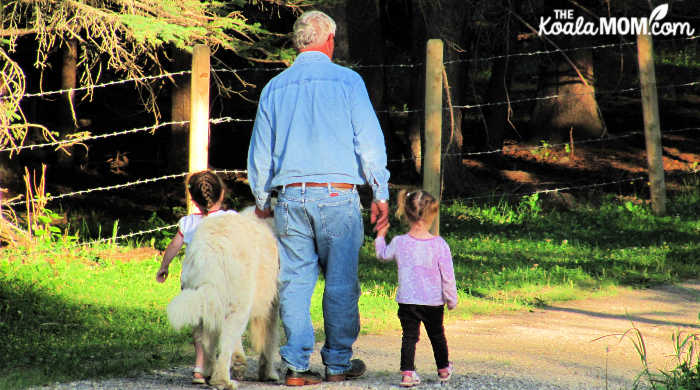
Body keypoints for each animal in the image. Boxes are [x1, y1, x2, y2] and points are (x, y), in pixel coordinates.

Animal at [167, 207, 278, 390]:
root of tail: (209, 251)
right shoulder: (273, 304)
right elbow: (269, 340)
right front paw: (269, 374)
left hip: (204, 299)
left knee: (206, 342)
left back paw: (207, 373)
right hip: (238, 305)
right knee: (225, 343)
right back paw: (224, 381)